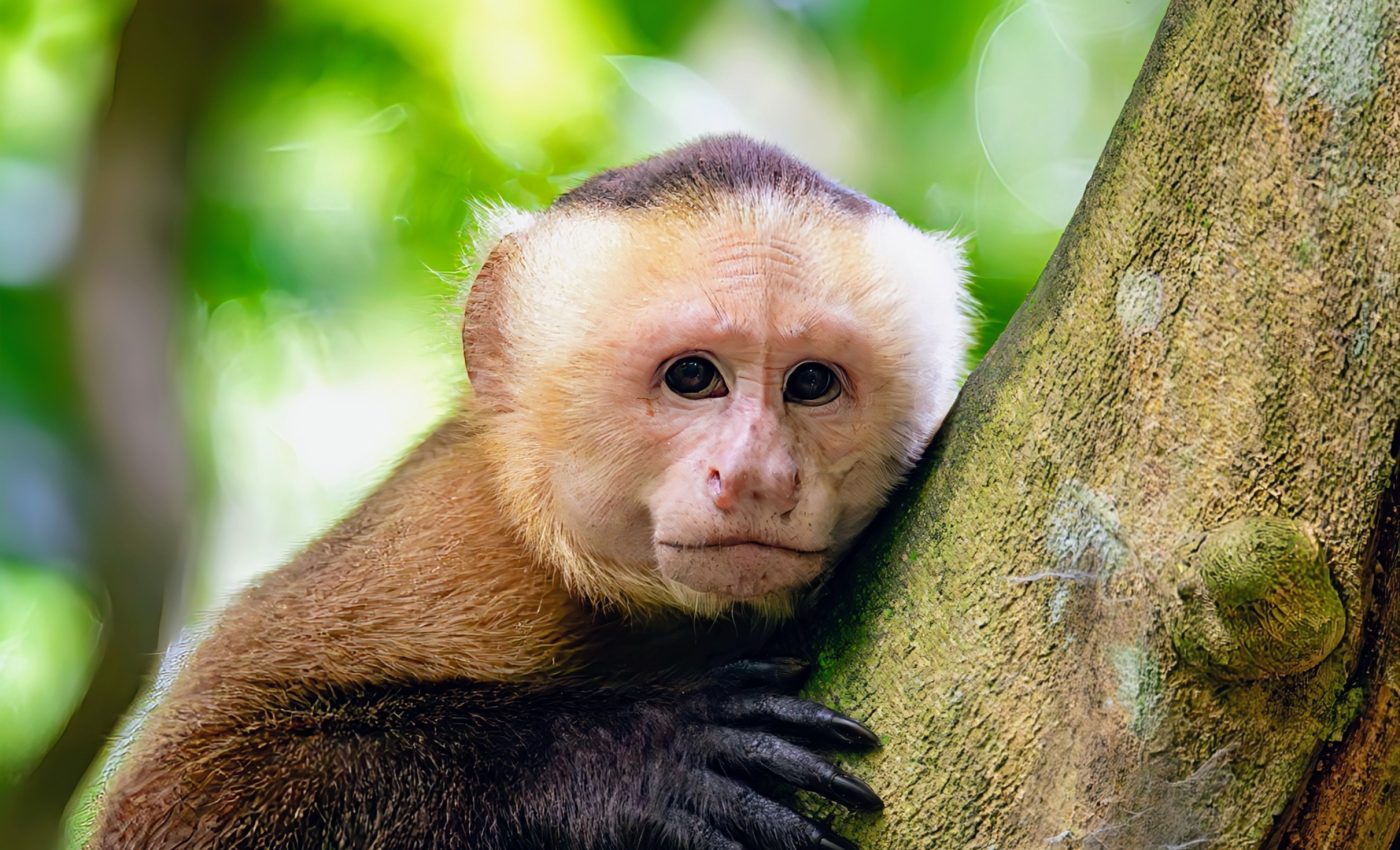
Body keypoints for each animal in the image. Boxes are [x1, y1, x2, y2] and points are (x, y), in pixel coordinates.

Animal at [88, 134, 972, 850]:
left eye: (812, 383)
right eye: (693, 377)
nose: (757, 476)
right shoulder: (460, 540)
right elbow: (175, 802)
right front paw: (633, 758)